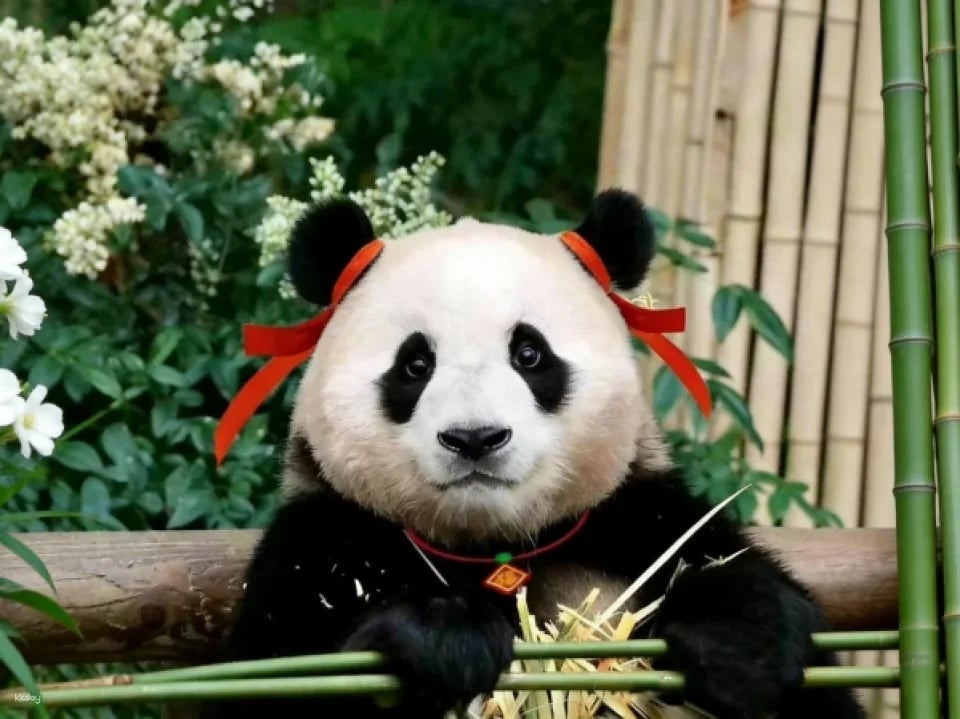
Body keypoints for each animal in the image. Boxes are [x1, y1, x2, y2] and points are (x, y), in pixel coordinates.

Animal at [203, 189, 866, 719]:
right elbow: (272, 682)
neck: (498, 549)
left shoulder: (640, 519)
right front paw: (443, 636)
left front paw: (742, 637)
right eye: (415, 365)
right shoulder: (319, 546)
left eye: (529, 354)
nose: (474, 438)